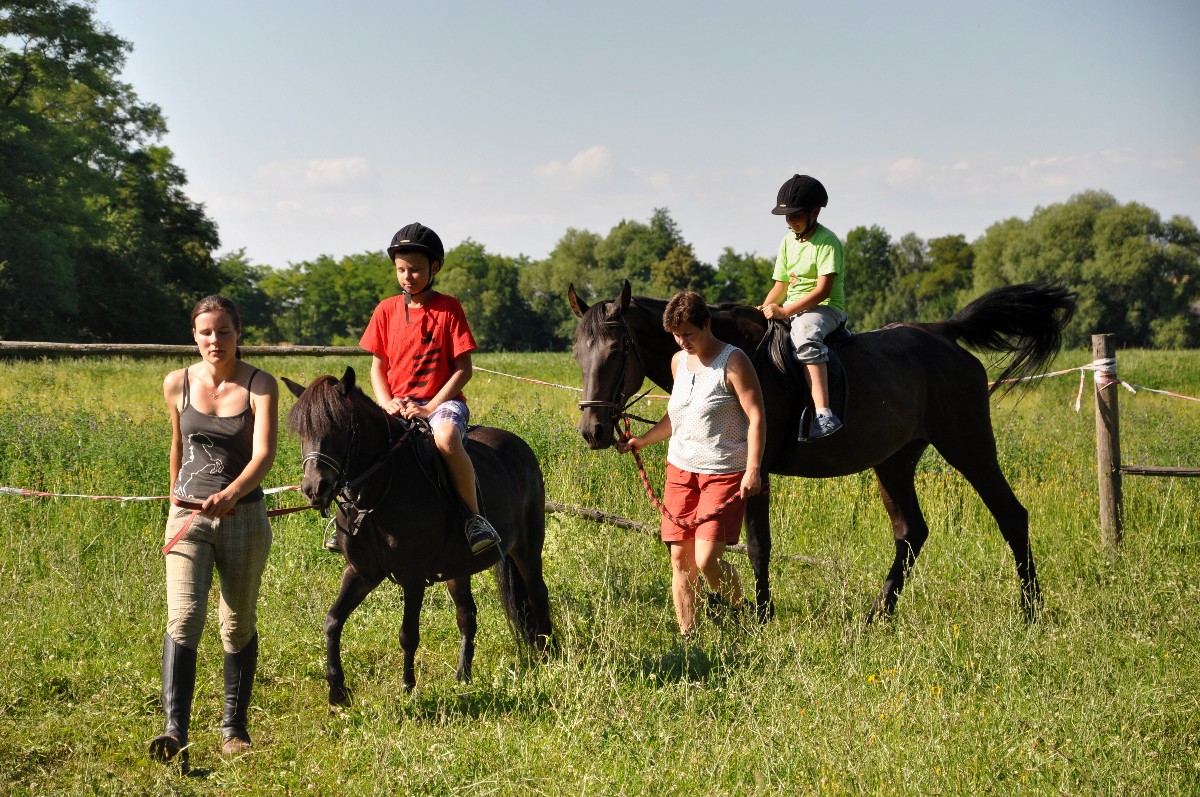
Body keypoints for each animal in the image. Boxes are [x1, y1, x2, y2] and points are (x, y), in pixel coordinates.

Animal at [284, 367, 552, 705]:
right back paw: (463, 676)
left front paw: (408, 688)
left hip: (527, 549)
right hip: (458, 568)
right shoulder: (361, 571)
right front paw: (337, 692)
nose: (314, 489)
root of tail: (520, 447)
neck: (377, 492)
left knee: (537, 594)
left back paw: (550, 658)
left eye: (339, 427)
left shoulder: (411, 577)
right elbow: (333, 621)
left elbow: (408, 633)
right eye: (302, 432)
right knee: (467, 614)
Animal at [569, 281, 1076, 624]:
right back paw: (878, 615)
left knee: (1011, 515)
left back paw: (1031, 612)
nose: (594, 430)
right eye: (577, 353)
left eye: (615, 351)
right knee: (911, 532)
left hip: (968, 446)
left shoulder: (755, 472)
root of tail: (942, 334)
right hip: (894, 461)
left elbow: (758, 545)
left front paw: (761, 615)